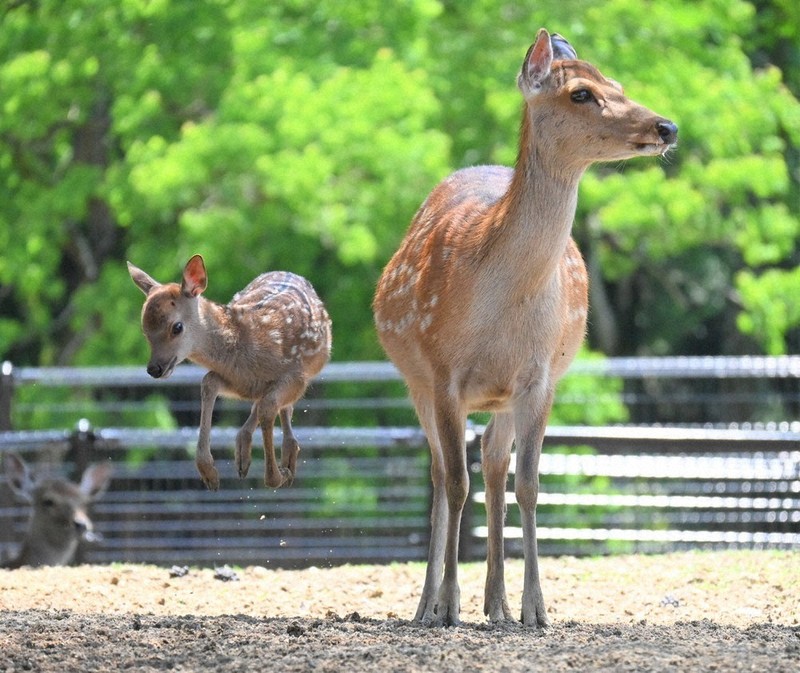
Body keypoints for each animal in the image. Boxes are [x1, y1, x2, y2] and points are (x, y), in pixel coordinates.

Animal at [128, 255, 332, 491]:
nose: (154, 368)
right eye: (145, 330)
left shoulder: (297, 376)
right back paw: (244, 454)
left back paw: (285, 456)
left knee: (276, 406)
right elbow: (209, 383)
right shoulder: (237, 380)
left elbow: (268, 407)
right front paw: (209, 473)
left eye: (176, 327)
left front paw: (278, 475)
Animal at [373, 28, 677, 627]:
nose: (666, 127)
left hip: (504, 395)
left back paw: (496, 604)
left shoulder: (539, 377)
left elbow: (531, 484)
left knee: (492, 462)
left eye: (618, 83)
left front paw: (536, 609)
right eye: (582, 93)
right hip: (414, 381)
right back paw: (431, 605)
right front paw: (447, 606)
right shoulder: (443, 372)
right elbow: (457, 482)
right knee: (442, 473)